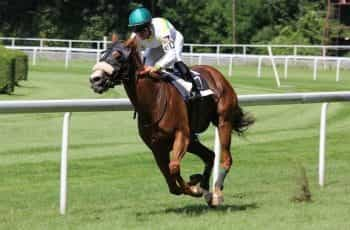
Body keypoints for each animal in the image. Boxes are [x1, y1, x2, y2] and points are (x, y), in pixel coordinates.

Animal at [89, 37, 254, 207]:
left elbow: (174, 168)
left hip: (223, 122)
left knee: (226, 158)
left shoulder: (181, 135)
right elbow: (171, 182)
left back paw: (217, 192)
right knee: (210, 155)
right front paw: (195, 184)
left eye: (117, 55)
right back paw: (205, 188)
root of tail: (217, 74)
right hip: (193, 140)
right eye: (103, 54)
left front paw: (194, 187)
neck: (153, 101)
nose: (95, 79)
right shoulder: (156, 146)